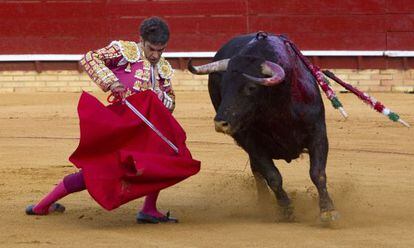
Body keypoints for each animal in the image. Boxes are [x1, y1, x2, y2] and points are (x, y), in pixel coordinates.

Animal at [189, 32, 342, 221]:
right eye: (223, 86)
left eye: (251, 87)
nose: (220, 123)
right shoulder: (251, 142)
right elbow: (273, 176)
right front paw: (286, 209)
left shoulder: (318, 133)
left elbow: (317, 173)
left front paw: (328, 211)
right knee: (257, 171)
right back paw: (263, 204)